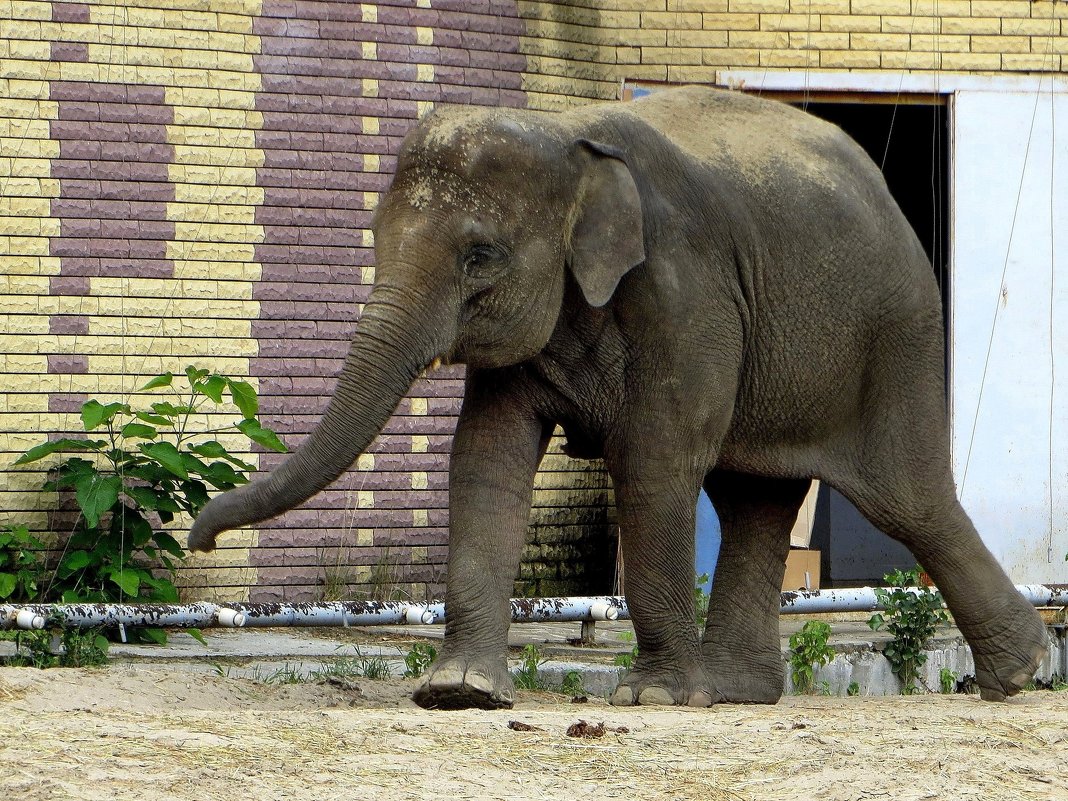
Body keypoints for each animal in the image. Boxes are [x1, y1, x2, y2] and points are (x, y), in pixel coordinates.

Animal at [187, 86, 1046, 709]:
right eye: (375, 237)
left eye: (480, 255)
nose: (197, 538)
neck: (567, 134)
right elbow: (487, 458)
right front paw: (459, 694)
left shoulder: (686, 291)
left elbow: (655, 459)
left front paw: (655, 697)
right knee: (754, 499)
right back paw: (740, 692)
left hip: (896, 335)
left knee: (906, 498)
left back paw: (1017, 673)